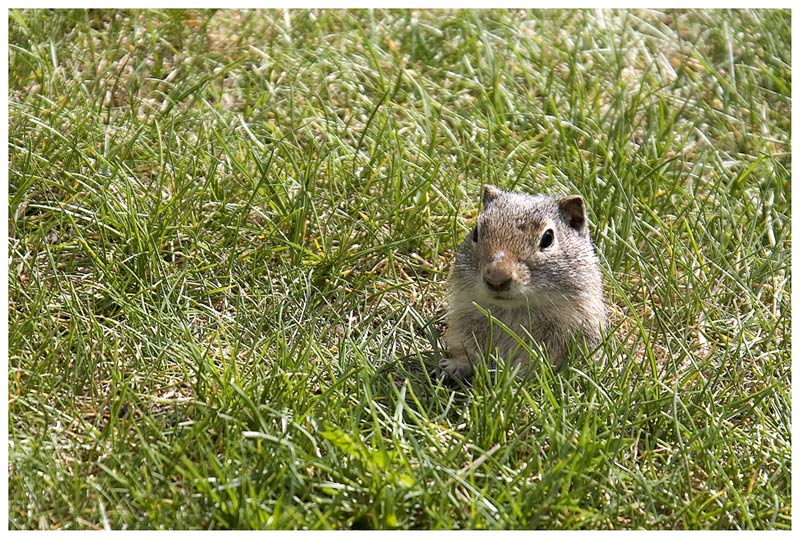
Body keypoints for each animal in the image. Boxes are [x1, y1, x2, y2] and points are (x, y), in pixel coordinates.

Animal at [438, 186, 608, 380]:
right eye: (476, 232)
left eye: (548, 238)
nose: (496, 278)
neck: (512, 310)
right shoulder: (466, 318)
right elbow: (468, 349)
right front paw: (454, 366)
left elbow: (538, 361)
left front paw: (515, 377)